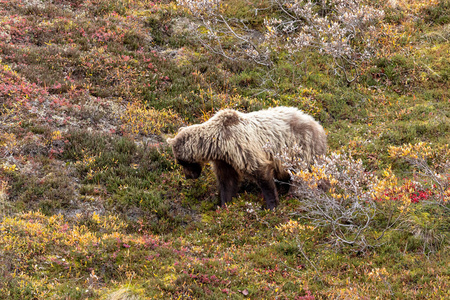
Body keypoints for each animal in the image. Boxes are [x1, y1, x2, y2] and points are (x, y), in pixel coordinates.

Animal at [167, 106, 326, 210]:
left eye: (181, 162)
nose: (189, 176)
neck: (219, 143)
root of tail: (318, 125)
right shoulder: (225, 160)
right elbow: (227, 181)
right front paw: (224, 205)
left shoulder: (241, 145)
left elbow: (260, 172)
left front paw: (271, 205)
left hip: (300, 147)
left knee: (302, 173)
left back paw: (295, 194)